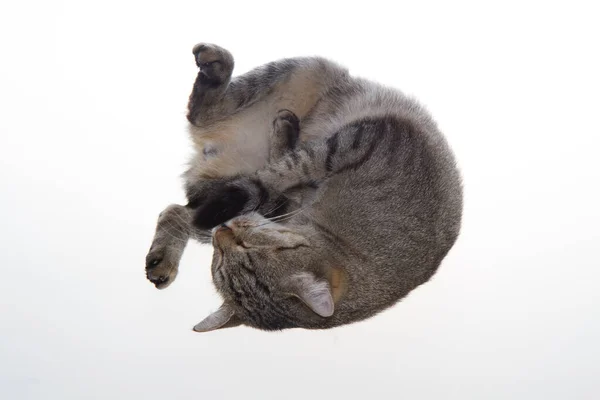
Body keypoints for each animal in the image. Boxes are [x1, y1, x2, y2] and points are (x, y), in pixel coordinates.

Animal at [146, 43, 464, 332]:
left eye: (232, 254)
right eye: (220, 260)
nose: (223, 230)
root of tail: (211, 148)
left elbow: (279, 170)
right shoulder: (354, 142)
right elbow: (287, 165)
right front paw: (284, 137)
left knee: (178, 208)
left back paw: (162, 259)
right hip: (302, 70)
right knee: (201, 113)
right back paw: (216, 65)